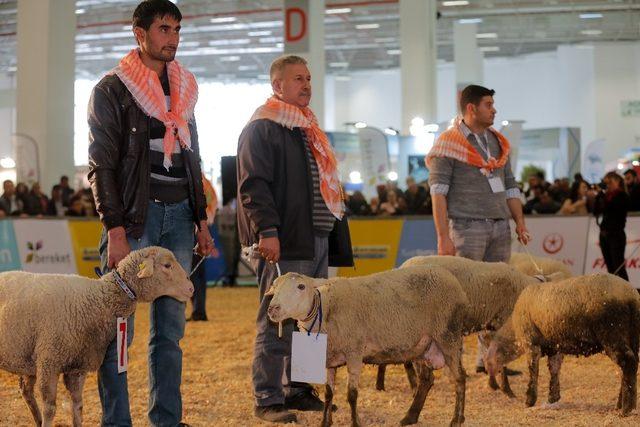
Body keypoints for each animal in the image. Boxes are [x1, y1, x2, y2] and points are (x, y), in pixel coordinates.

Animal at [0, 247, 192, 427]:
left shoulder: (77, 366)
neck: (100, 298)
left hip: (27, 358)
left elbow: (78, 406)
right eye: (167, 265)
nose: (191, 288)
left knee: (26, 391)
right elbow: (50, 408)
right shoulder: (49, 361)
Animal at [264, 266, 470, 426]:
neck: (327, 309)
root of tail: (452, 279)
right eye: (275, 286)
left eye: (301, 286)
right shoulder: (329, 358)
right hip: (422, 345)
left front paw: (355, 423)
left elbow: (352, 394)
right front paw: (325, 422)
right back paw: (410, 417)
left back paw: (456, 419)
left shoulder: (354, 352)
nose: (273, 309)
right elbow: (329, 394)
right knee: (426, 380)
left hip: (448, 335)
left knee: (460, 378)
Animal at [484, 272, 640, 416]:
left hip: (611, 333)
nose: (492, 385)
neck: (514, 331)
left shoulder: (531, 343)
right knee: (629, 367)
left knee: (628, 362)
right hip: (632, 337)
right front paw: (553, 398)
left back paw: (626, 409)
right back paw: (621, 404)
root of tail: (630, 294)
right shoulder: (555, 347)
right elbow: (554, 369)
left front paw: (529, 400)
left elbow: (533, 371)